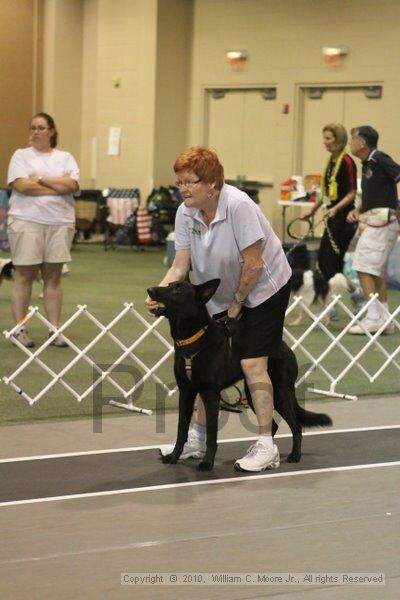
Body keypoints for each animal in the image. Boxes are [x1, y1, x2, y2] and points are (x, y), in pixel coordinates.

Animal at [147, 278, 332, 472]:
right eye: (169, 284)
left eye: (178, 289)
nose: (150, 290)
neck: (193, 339)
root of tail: (285, 348)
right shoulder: (186, 392)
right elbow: (181, 430)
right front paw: (174, 457)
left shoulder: (210, 394)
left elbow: (211, 434)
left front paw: (207, 462)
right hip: (253, 393)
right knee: (273, 425)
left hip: (280, 394)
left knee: (296, 426)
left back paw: (294, 455)